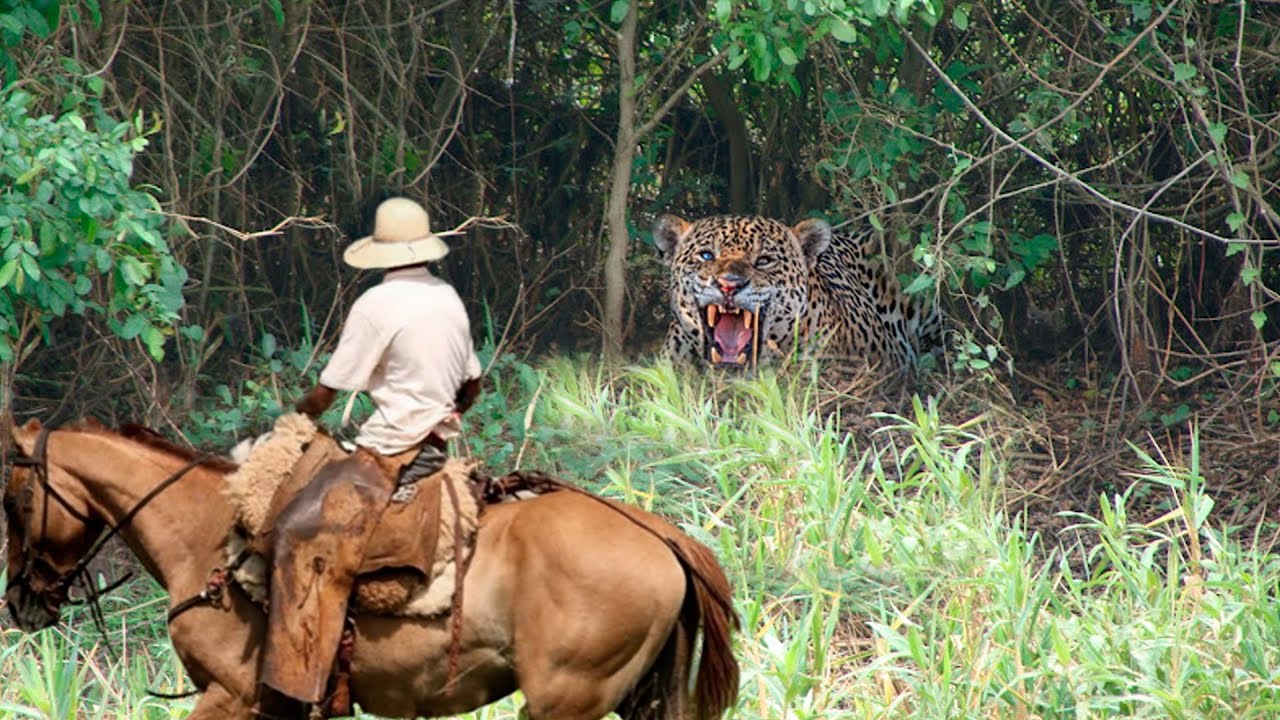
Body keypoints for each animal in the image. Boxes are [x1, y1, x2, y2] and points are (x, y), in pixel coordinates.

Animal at [0, 415, 742, 717]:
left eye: (14, 499)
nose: (20, 602)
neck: (210, 538)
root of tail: (657, 534)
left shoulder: (229, 695)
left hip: (565, 701)